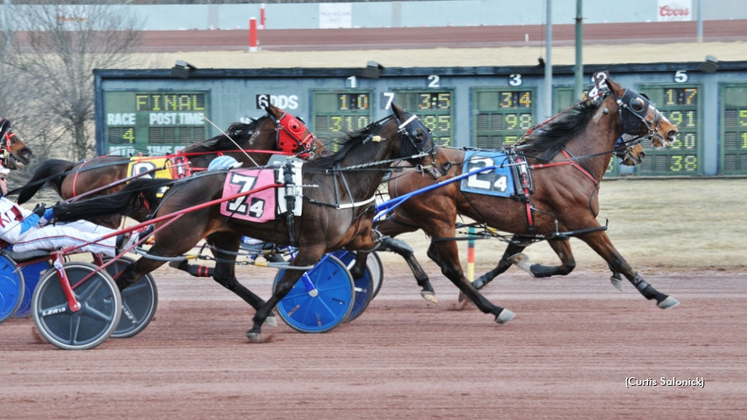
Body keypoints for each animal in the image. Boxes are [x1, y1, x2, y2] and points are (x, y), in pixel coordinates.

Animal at [57, 103, 438, 342]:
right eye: (419, 135)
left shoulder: (355, 237)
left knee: (223, 275)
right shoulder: (312, 247)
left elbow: (396, 246)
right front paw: (260, 322)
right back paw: (90, 311)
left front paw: (426, 287)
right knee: (126, 274)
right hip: (170, 238)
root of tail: (176, 185)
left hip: (223, 236)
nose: (437, 165)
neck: (340, 181)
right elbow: (288, 285)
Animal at [354, 72, 680, 318]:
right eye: (638, 103)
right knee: (441, 260)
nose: (671, 130)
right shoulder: (581, 219)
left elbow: (558, 264)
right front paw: (657, 293)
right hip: (437, 217)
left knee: (378, 235)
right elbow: (618, 258)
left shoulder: (546, 225)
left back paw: (410, 281)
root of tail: (402, 165)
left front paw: (517, 267)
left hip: (409, 215)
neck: (567, 161)